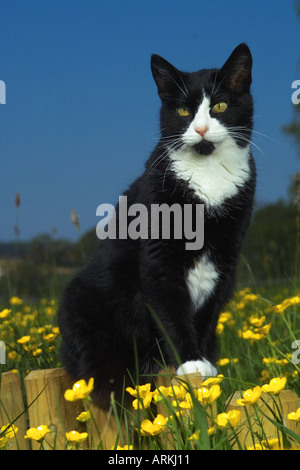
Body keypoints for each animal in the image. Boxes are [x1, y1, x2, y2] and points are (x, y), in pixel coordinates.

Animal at [58, 42, 255, 406]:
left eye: (220, 105)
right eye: (183, 111)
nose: (201, 129)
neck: (208, 172)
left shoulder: (226, 253)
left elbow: (208, 308)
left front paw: (202, 360)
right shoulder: (159, 251)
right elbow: (169, 302)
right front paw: (189, 361)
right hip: (82, 305)